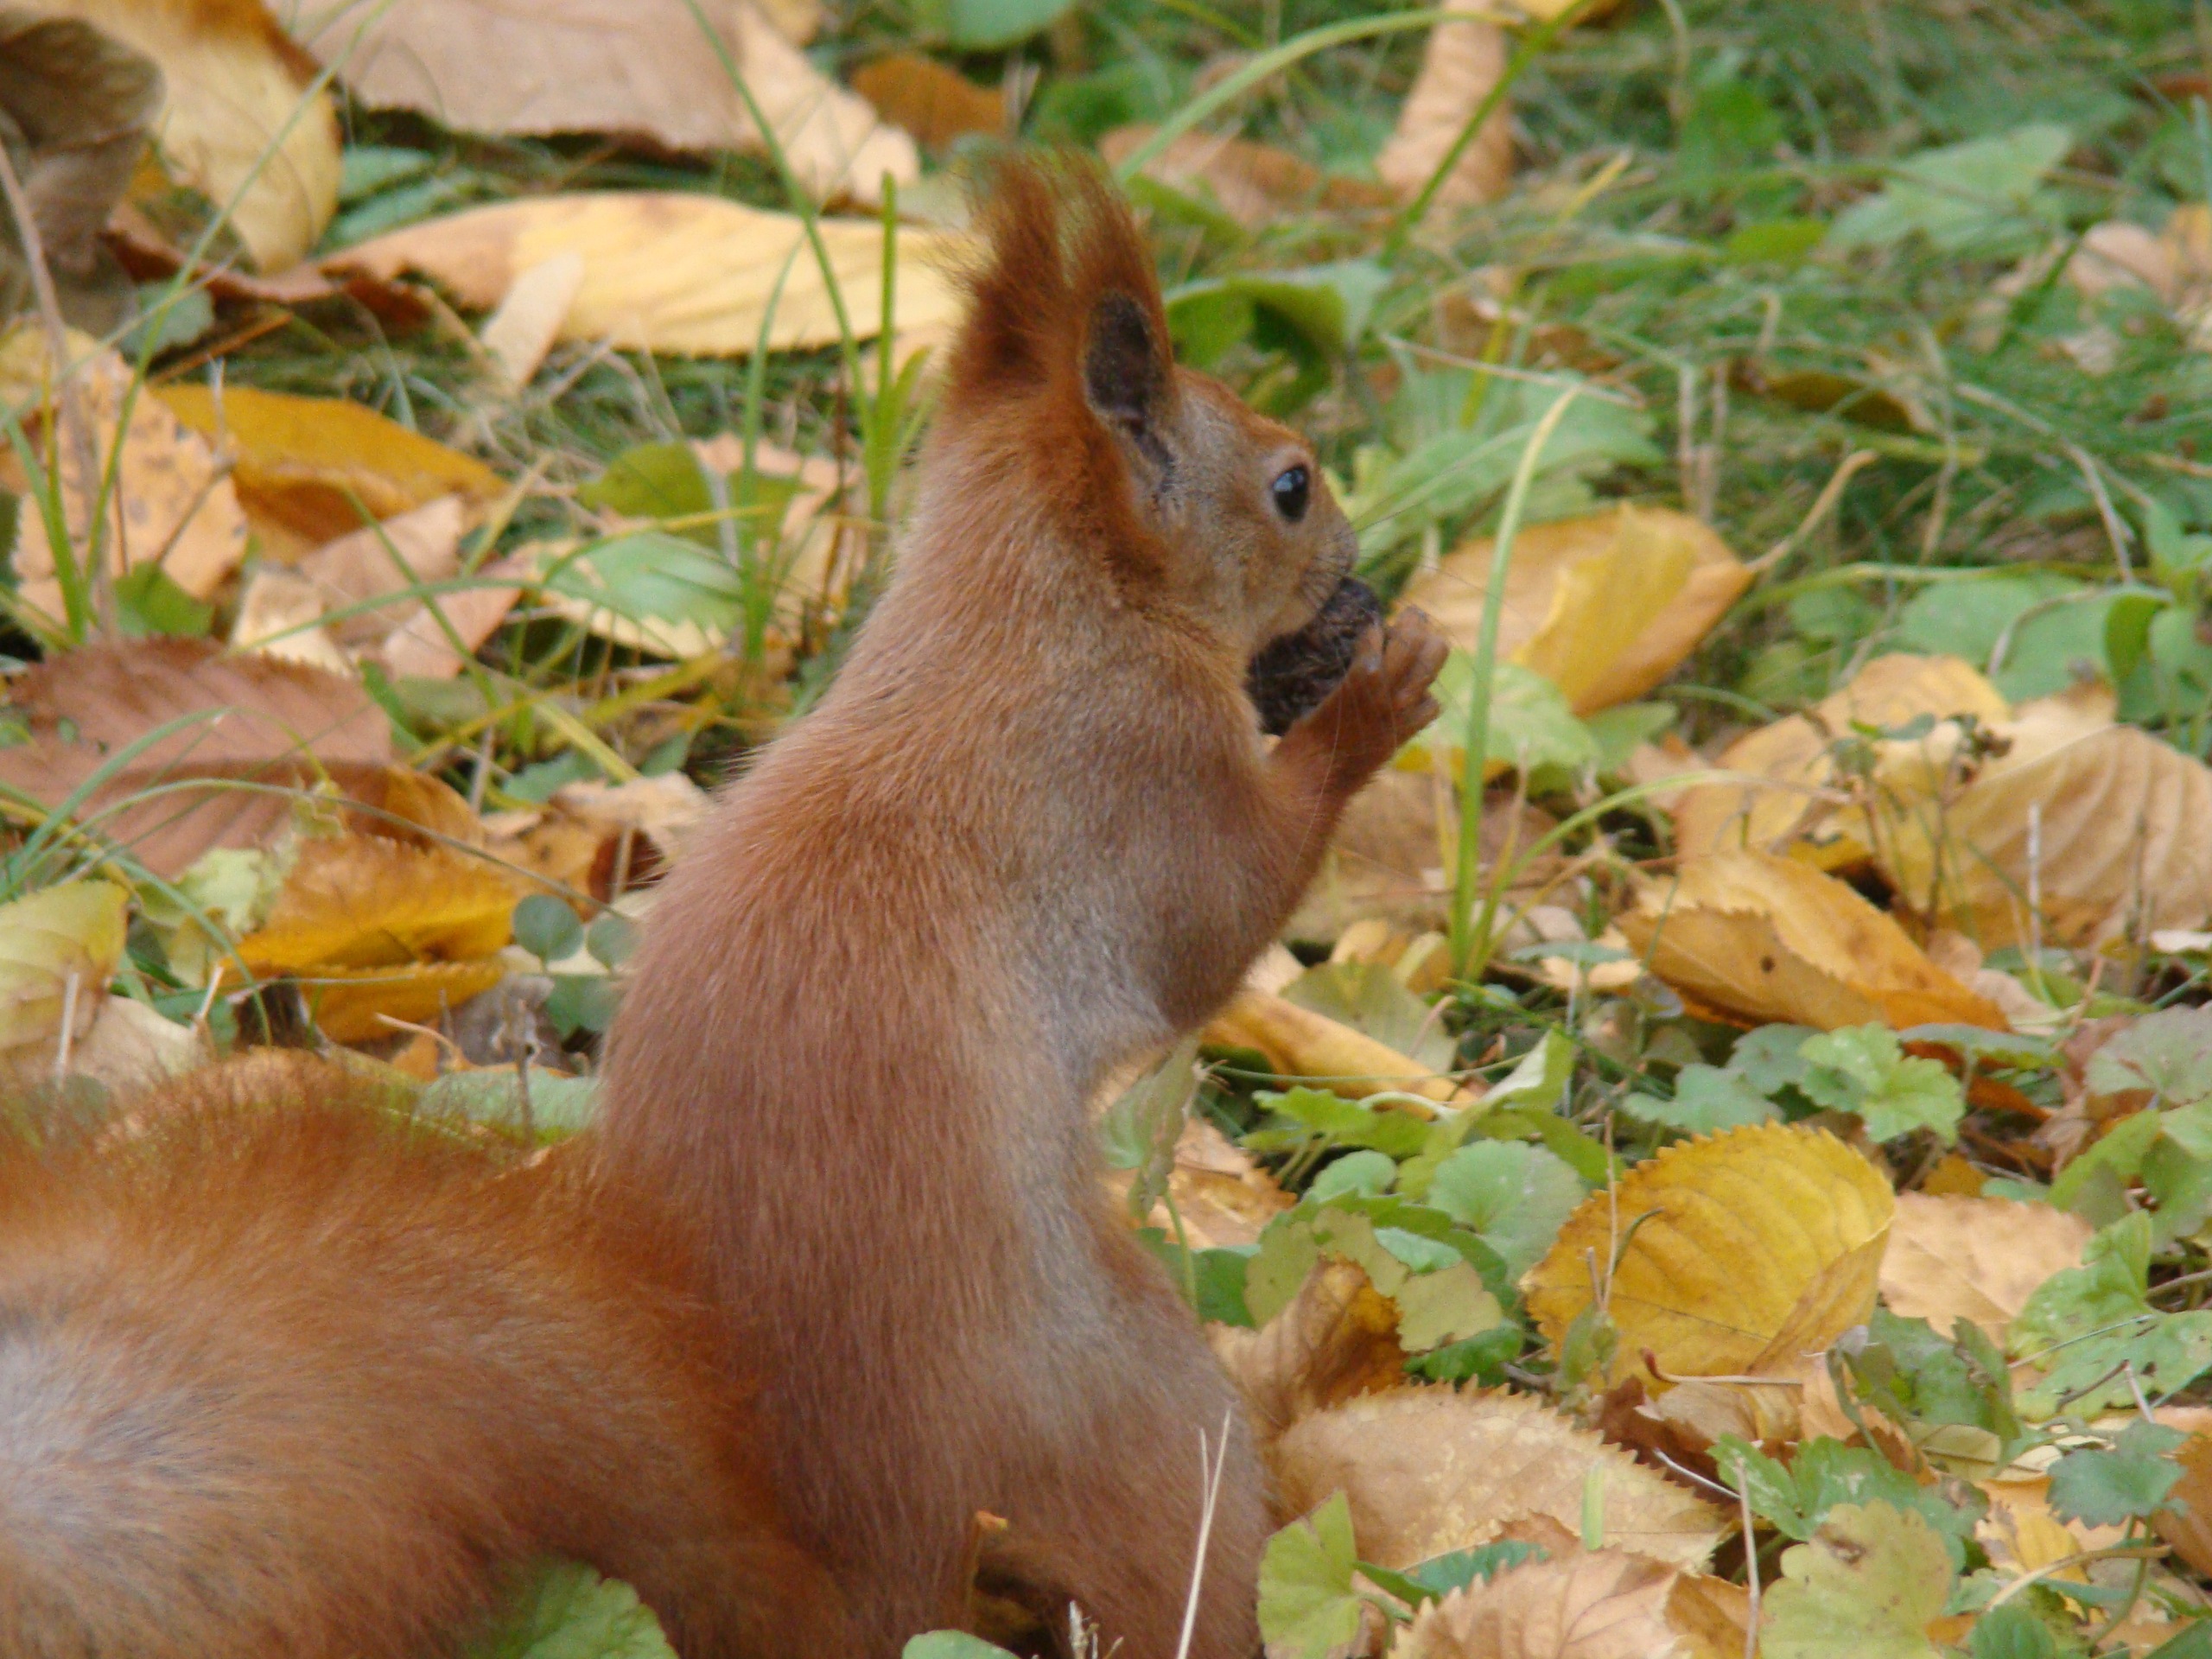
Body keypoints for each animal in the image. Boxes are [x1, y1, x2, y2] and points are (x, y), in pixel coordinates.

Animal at [0, 156, 1445, 1658]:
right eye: (1290, 486)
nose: (1353, 548)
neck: (1029, 614)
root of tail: (834, 1571)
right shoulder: (1142, 775)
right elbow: (1216, 925)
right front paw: (1374, 701)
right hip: (1138, 1422)